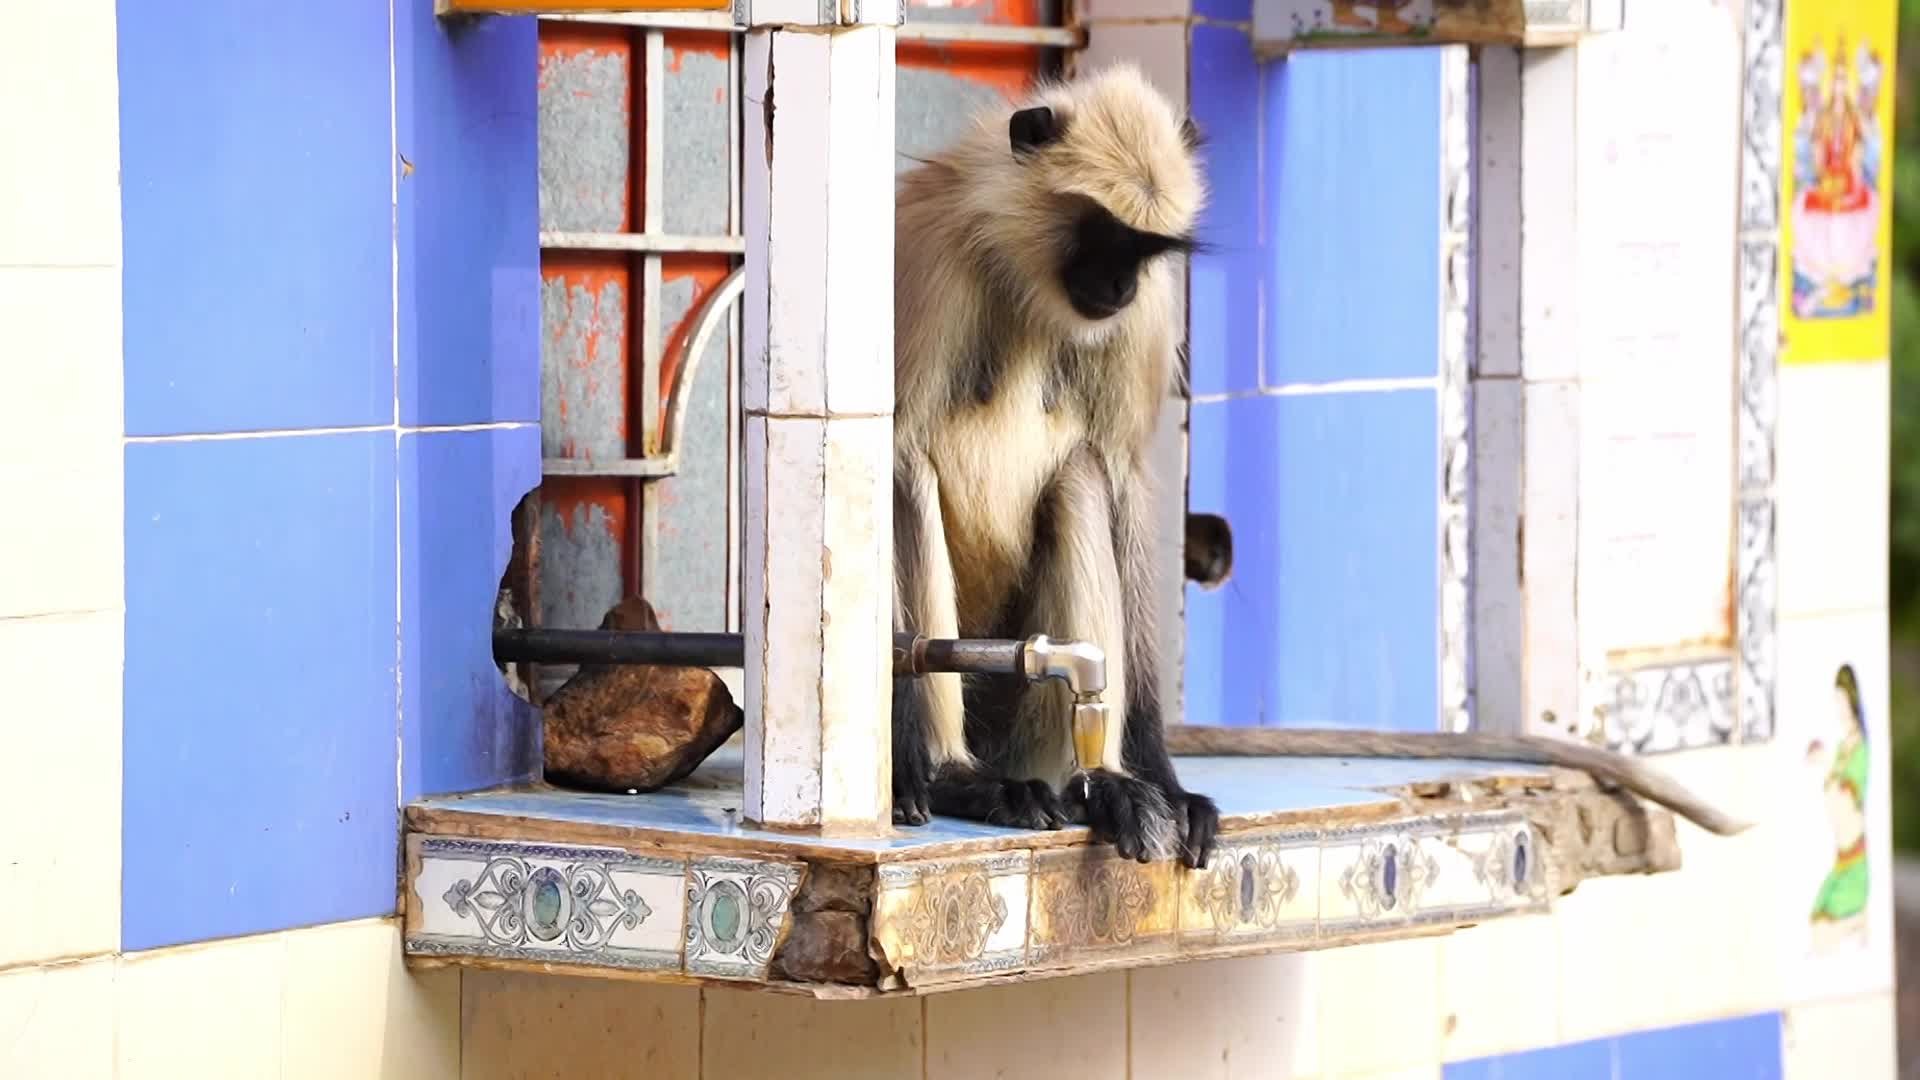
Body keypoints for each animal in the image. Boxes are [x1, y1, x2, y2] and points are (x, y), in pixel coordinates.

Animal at [889, 63, 1220, 869]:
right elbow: (887, 448)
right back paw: (958, 776)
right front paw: (911, 759)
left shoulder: (1144, 316)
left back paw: (1103, 785)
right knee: (912, 473)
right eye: (1101, 234)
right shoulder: (931, 256)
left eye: (1144, 249)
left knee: (1083, 475)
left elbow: (1122, 475)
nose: (1118, 286)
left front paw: (1164, 779)